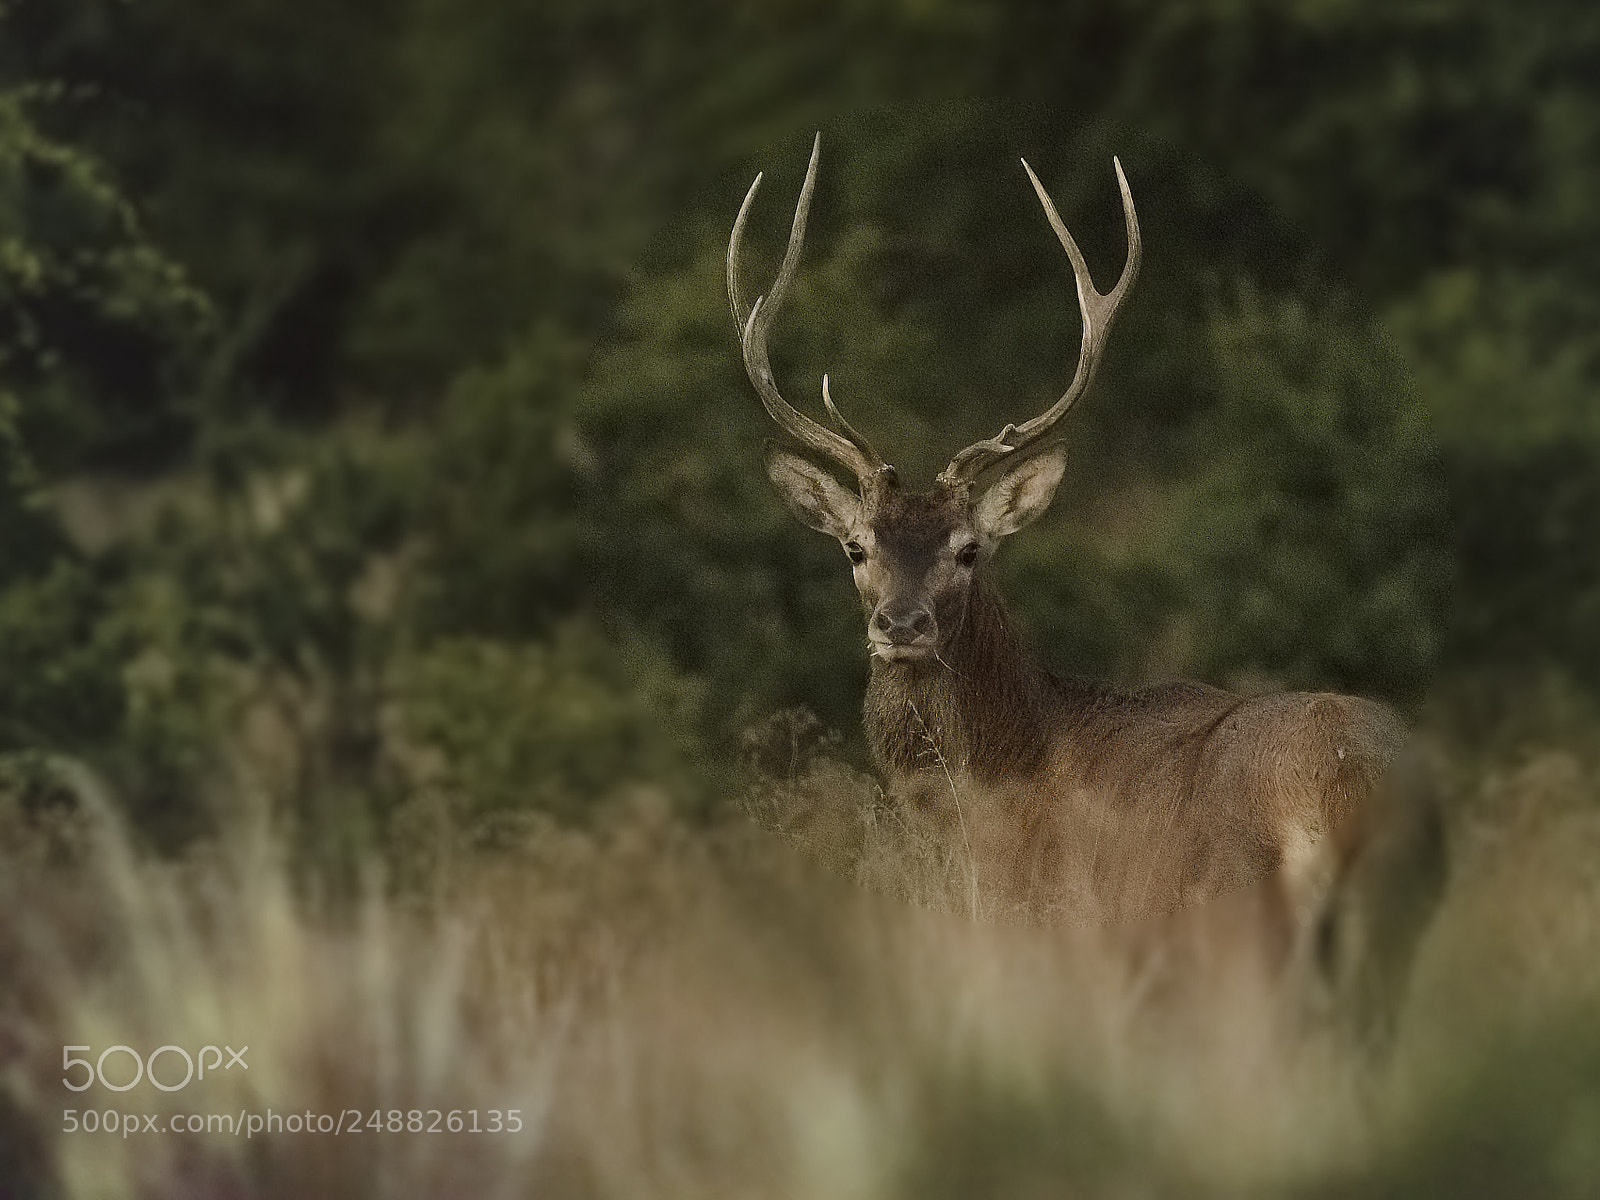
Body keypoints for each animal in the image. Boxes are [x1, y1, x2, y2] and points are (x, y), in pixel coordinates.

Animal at [728, 134, 1445, 1038]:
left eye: (969, 549)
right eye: (856, 547)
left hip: (1233, 941)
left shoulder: (1060, 949)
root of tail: (1346, 799)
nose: (902, 624)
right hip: (1393, 937)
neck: (991, 797)